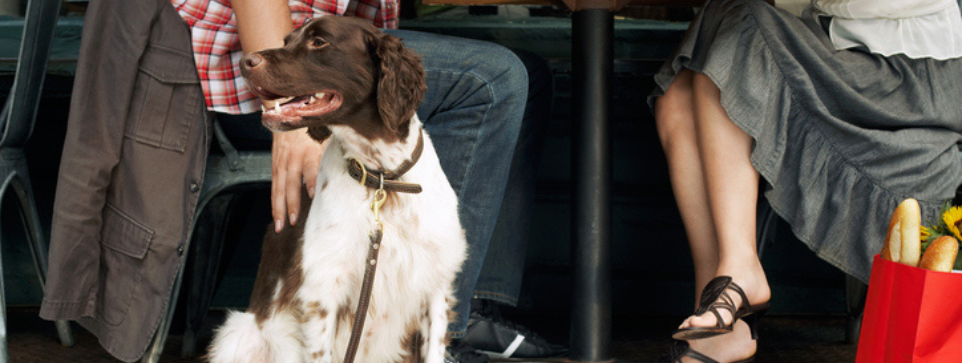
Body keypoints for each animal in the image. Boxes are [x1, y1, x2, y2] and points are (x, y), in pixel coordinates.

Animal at [206, 16, 464, 363]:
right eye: (287, 41)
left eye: (319, 43)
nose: (245, 62)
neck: (382, 179)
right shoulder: (323, 289)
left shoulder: (436, 287)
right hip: (238, 335)